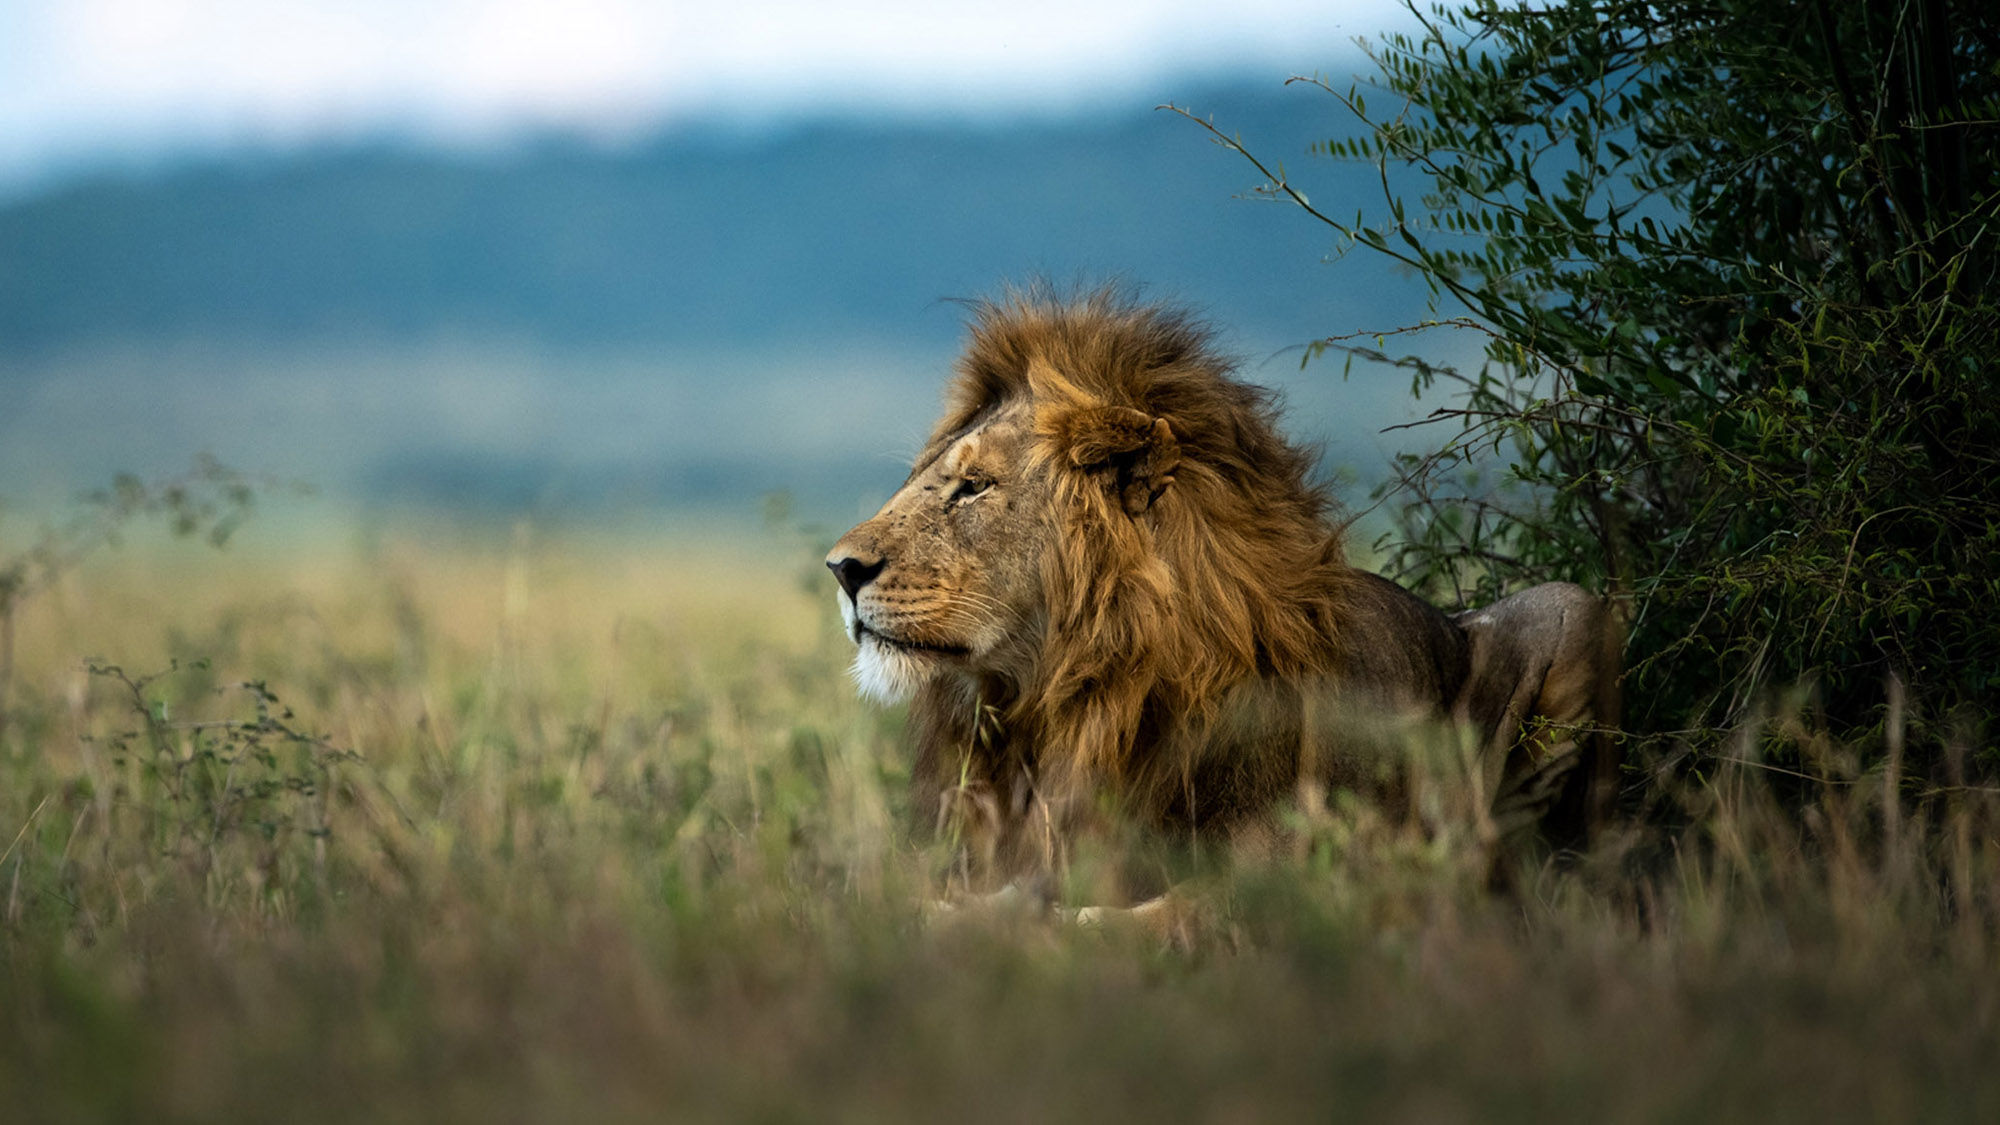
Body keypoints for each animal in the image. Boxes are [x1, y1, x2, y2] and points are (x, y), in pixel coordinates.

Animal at [825, 288, 1620, 917]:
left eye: (975, 488)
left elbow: (1150, 916)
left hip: (1572, 607)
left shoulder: (1305, 871)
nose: (840, 569)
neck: (1068, 702)